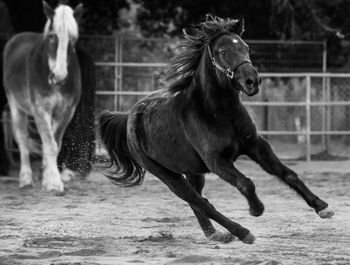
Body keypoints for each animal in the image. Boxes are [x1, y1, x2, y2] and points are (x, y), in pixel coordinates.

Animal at [3, 0, 83, 194]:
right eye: (52, 37)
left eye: (73, 38)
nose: (59, 76)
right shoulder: (41, 109)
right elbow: (49, 144)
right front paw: (54, 183)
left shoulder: (66, 112)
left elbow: (55, 143)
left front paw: (48, 179)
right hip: (15, 106)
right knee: (23, 139)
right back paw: (25, 179)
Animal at [98, 16, 334, 243]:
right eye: (223, 52)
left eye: (247, 48)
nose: (252, 81)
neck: (218, 112)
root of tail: (130, 118)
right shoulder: (216, 161)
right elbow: (246, 183)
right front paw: (256, 209)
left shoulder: (256, 145)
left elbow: (288, 174)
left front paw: (322, 207)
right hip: (167, 175)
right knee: (201, 203)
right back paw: (242, 233)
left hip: (193, 172)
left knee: (198, 202)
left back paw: (215, 234)